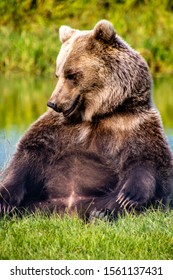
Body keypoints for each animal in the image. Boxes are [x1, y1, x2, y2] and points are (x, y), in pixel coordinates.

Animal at [0, 20, 173, 220]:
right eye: (58, 74)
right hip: (40, 204)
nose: (53, 103)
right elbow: (28, 157)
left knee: (113, 203)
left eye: (71, 75)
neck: (96, 113)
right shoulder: (57, 129)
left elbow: (147, 160)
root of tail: (69, 209)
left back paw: (102, 213)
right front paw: (4, 200)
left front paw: (129, 197)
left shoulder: (133, 123)